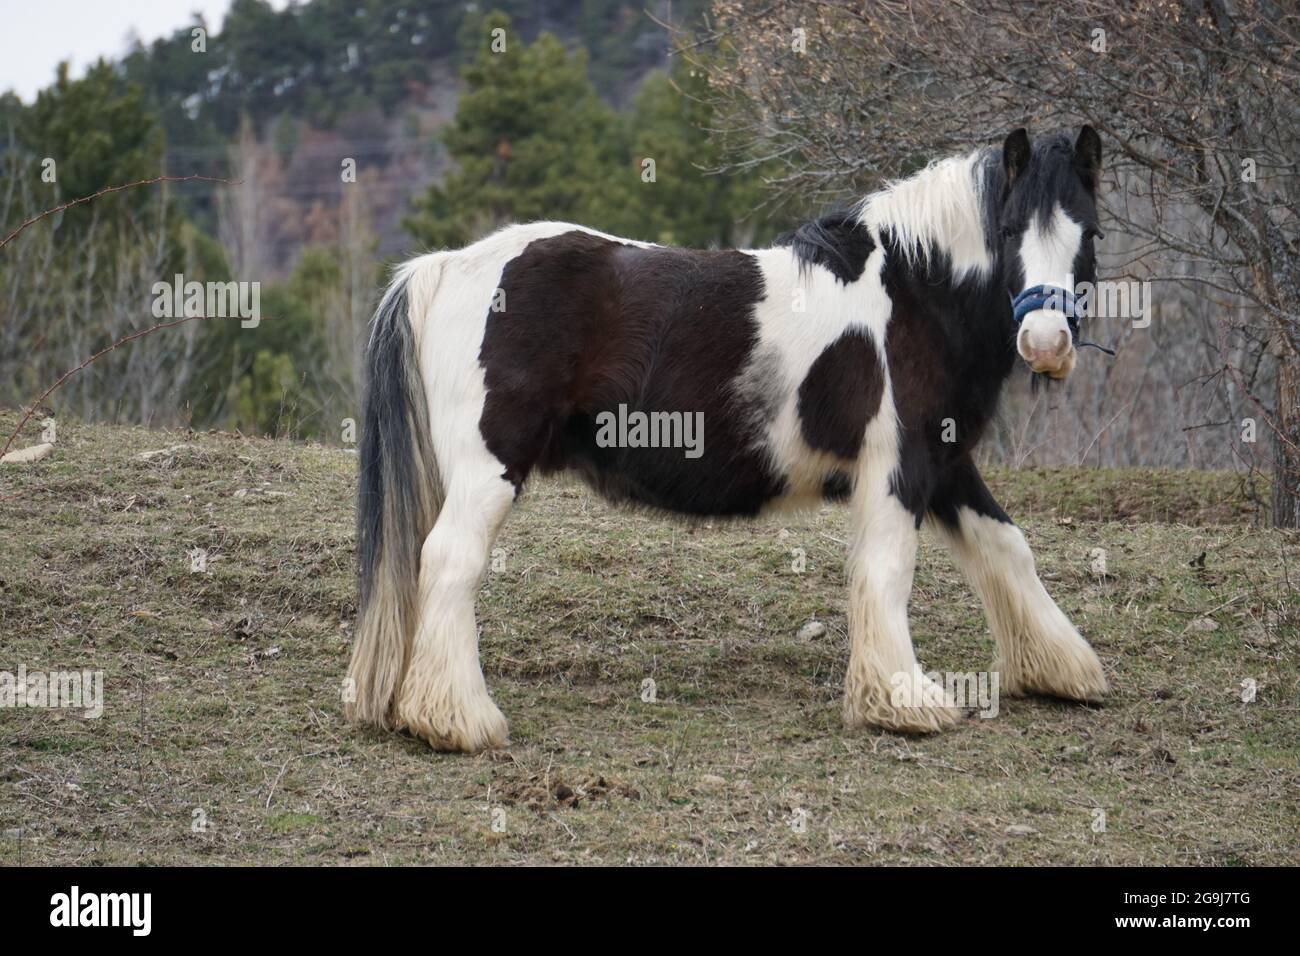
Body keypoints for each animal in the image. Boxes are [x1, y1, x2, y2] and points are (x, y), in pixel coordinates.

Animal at [346, 126, 1110, 752]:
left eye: (1091, 233)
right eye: (1009, 230)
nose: (1047, 344)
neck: (912, 296)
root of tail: (448, 265)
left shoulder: (945, 465)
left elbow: (1006, 547)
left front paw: (1061, 672)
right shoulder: (899, 467)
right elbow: (889, 572)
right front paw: (904, 702)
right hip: (489, 468)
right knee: (450, 560)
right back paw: (459, 720)